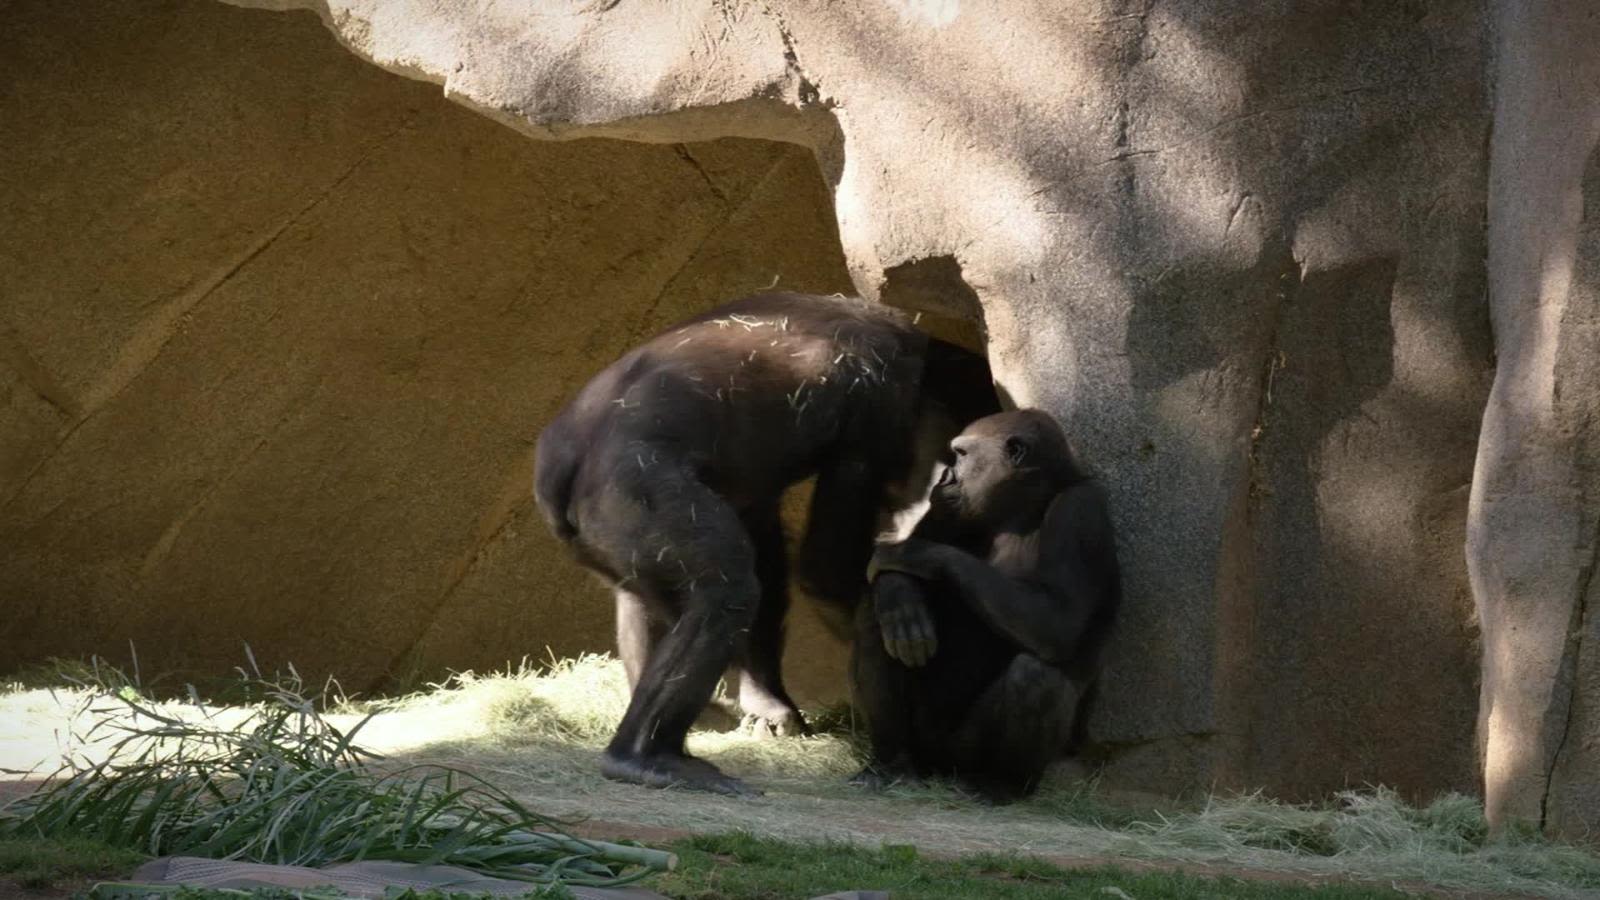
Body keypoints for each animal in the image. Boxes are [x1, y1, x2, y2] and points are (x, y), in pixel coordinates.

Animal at [531, 288, 992, 791]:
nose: (945, 477)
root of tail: (556, 471)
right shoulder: (879, 410)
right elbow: (826, 569)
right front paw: (898, 609)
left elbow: (768, 547)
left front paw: (771, 702)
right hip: (634, 489)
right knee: (726, 587)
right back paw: (641, 755)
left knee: (652, 596)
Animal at [857, 408, 1120, 797]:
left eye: (961, 455)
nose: (945, 477)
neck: (1023, 508)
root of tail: (942, 767)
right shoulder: (944, 511)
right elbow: (892, 585)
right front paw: (898, 592)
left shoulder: (1080, 513)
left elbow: (1056, 620)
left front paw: (911, 554)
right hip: (926, 746)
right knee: (876, 626)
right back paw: (894, 762)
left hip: (964, 754)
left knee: (1035, 675)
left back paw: (1003, 785)